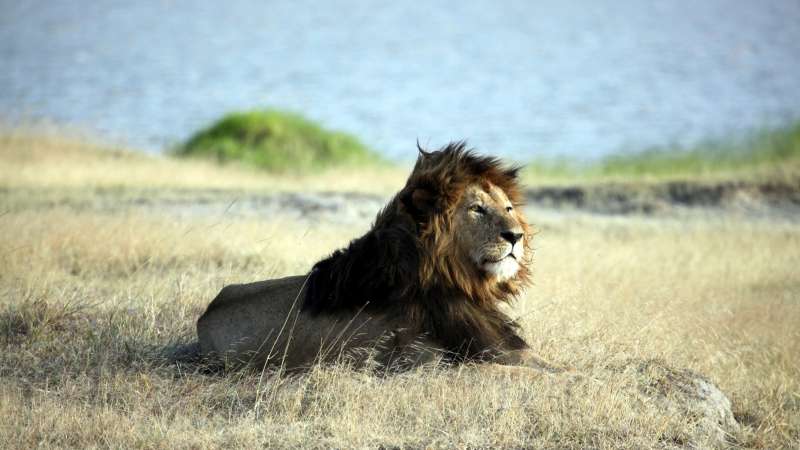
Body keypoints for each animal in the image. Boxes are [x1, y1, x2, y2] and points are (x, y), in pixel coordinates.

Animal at [197, 142, 558, 372]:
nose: (516, 236)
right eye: (477, 209)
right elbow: (525, 375)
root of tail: (203, 317)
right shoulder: (427, 366)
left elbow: (555, 367)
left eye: (508, 208)